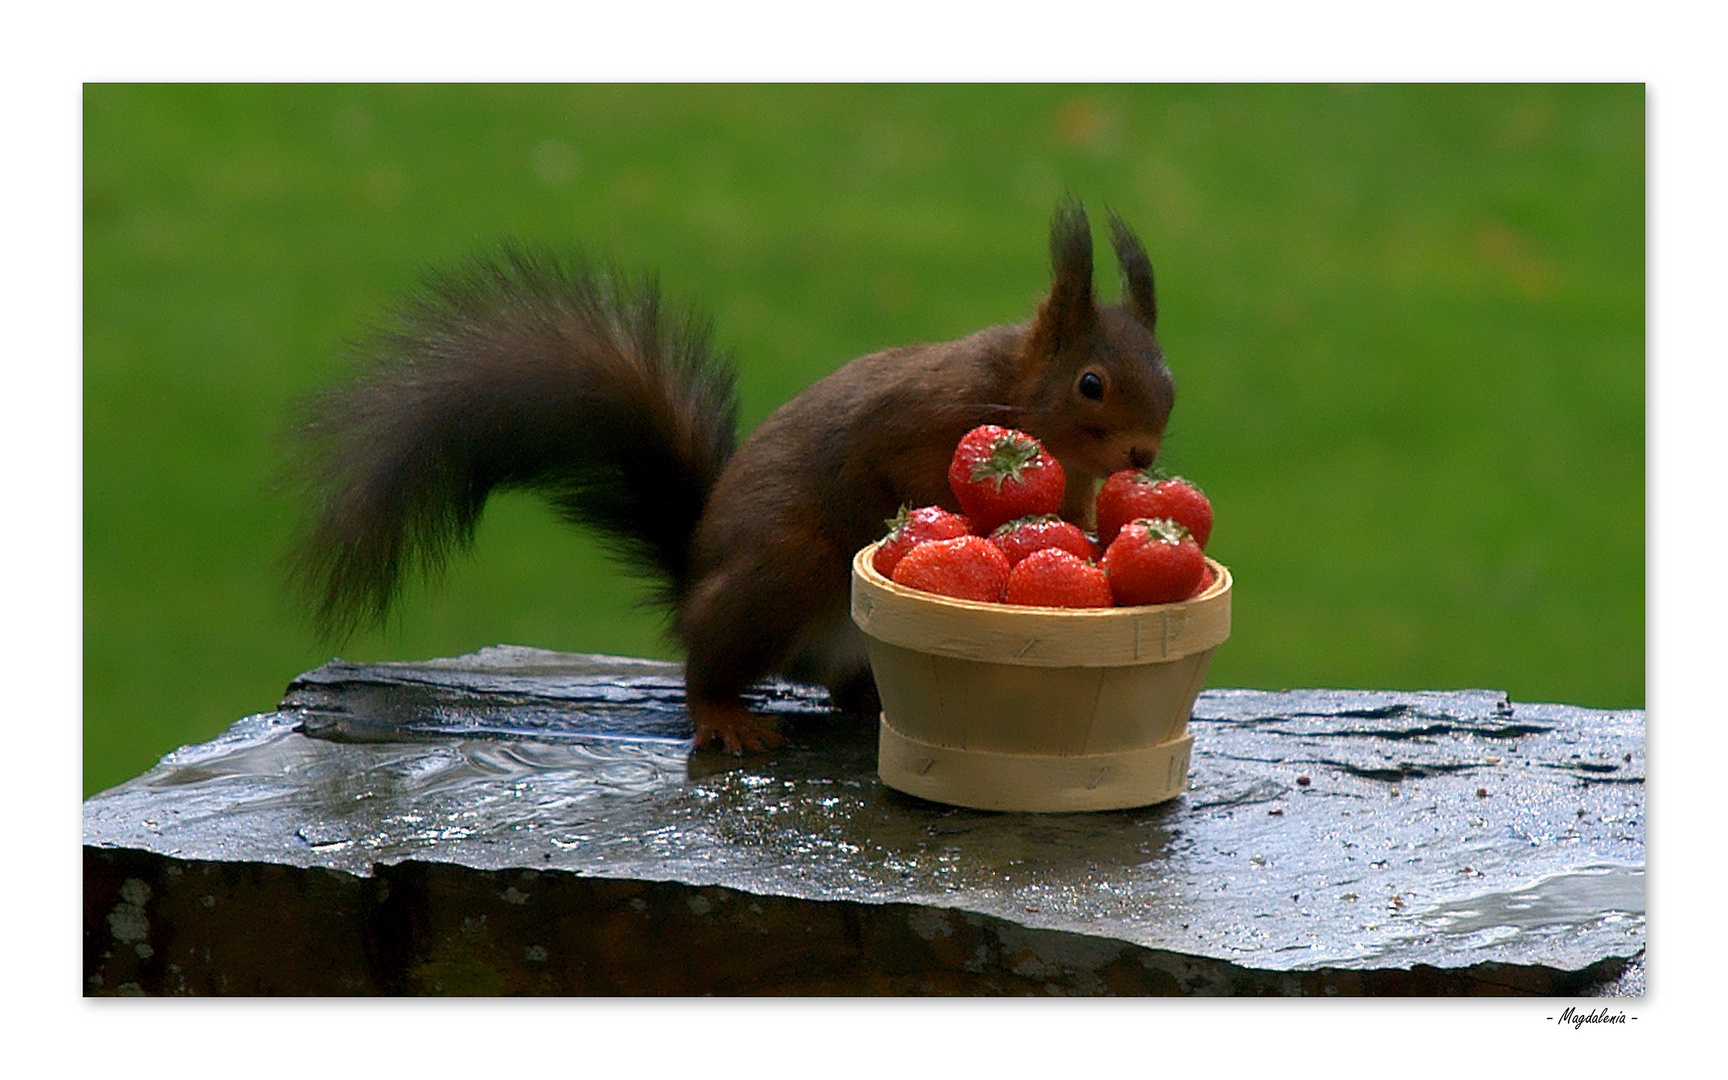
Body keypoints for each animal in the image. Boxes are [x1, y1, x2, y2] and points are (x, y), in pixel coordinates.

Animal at [290, 200, 1175, 749]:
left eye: (1167, 371)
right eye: (1091, 384)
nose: (1143, 454)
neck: (1016, 392)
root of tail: (693, 581)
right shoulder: (920, 418)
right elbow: (909, 482)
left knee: (840, 686)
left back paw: (869, 700)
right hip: (781, 571)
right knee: (707, 665)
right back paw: (724, 715)